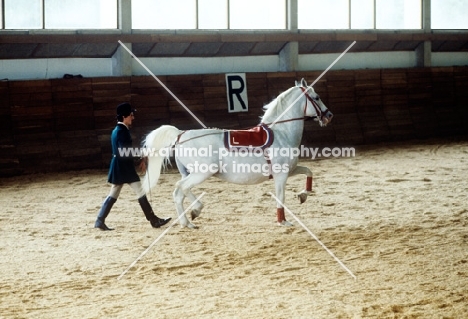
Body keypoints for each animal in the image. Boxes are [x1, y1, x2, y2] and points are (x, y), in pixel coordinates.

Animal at [142, 80, 332, 230]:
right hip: (202, 172)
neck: (281, 132)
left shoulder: (290, 170)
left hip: (190, 173)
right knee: (181, 187)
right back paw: (196, 209)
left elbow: (308, 172)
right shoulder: (281, 175)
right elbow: (281, 197)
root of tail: (181, 134)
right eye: (317, 97)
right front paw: (283, 221)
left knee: (179, 193)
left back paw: (187, 222)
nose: (329, 115)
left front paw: (303, 195)